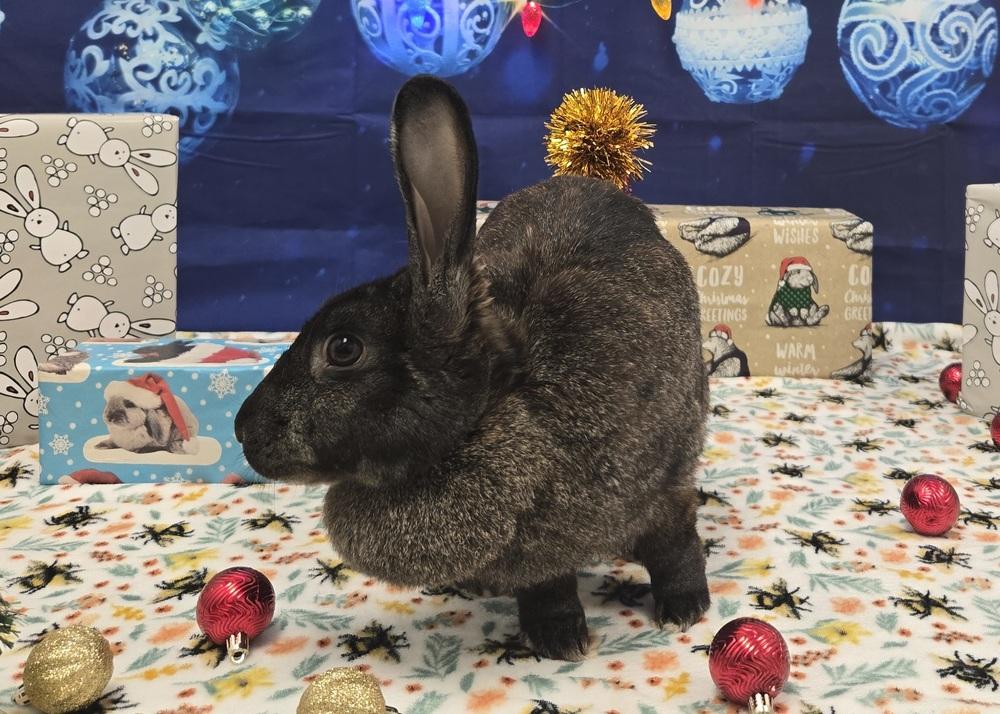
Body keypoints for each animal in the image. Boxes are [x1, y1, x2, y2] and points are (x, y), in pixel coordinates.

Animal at [235, 76, 710, 661]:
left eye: (343, 348)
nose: (242, 430)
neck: (497, 406)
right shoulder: (537, 563)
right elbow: (548, 590)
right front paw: (559, 637)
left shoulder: (664, 491)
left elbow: (676, 547)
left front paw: (686, 608)